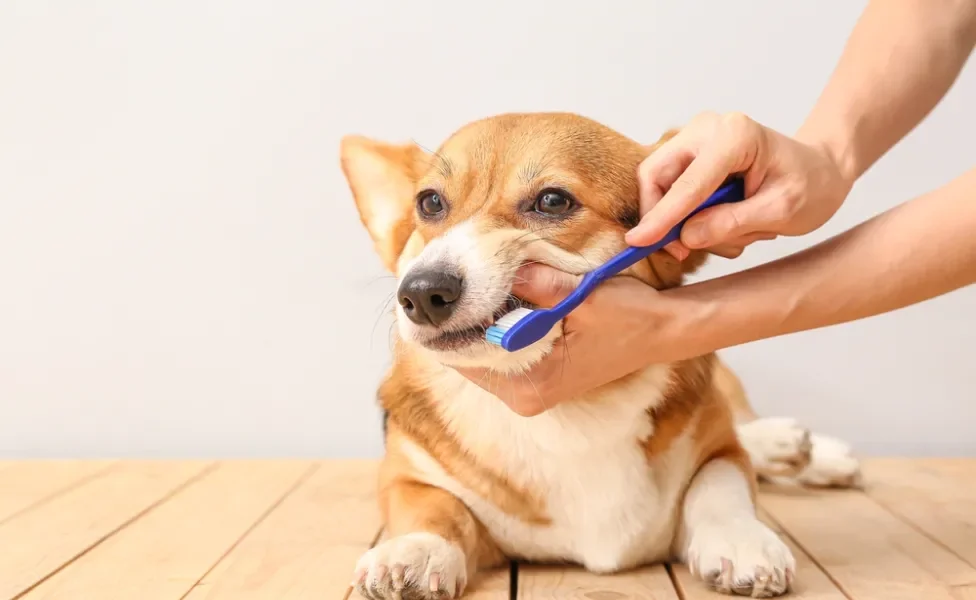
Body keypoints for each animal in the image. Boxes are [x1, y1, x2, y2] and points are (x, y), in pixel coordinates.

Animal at [340, 110, 856, 596]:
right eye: (429, 203)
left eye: (552, 201)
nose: (421, 293)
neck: (568, 412)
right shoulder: (406, 474)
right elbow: (434, 508)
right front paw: (415, 552)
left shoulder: (718, 451)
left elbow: (720, 486)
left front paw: (742, 539)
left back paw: (806, 449)